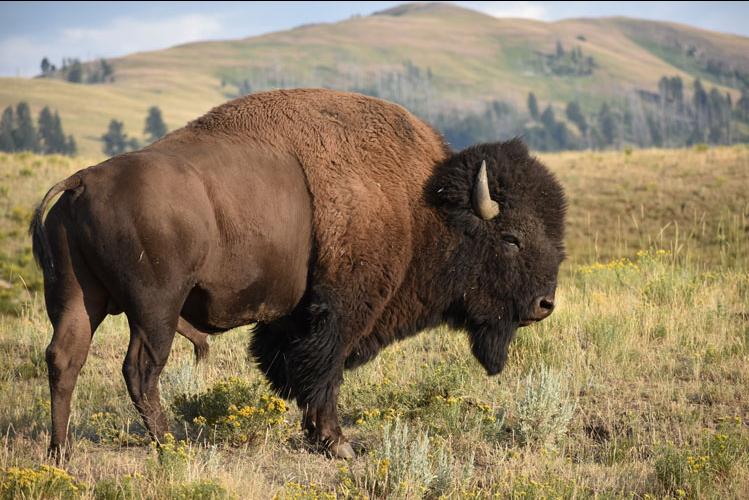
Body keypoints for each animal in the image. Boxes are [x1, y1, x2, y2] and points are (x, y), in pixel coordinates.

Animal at [30, 89, 566, 459]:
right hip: (155, 309)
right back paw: (172, 443)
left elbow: (296, 369)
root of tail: (81, 181)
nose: (545, 304)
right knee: (140, 370)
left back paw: (61, 452)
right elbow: (324, 371)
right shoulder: (341, 311)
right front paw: (339, 444)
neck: (421, 204)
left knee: (64, 360)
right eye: (511, 238)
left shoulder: (293, 318)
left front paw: (317, 437)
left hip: (78, 300)